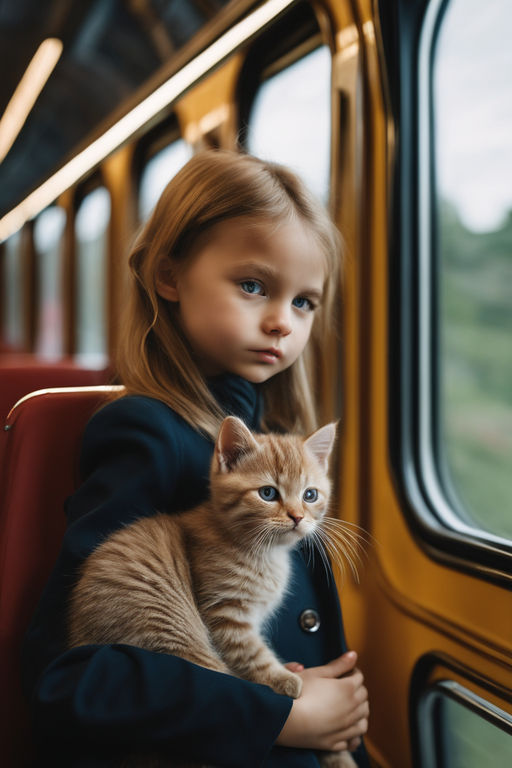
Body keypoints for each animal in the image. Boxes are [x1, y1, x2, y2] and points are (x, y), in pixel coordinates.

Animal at [68, 416, 356, 768]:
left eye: (310, 495)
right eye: (268, 493)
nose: (297, 516)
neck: (261, 551)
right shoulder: (225, 614)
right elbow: (251, 653)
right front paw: (283, 678)